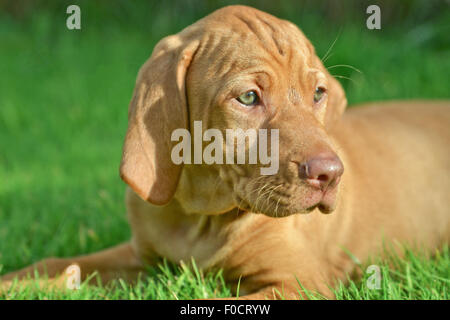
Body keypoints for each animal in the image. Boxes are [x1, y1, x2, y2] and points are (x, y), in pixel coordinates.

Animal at [2, 5, 450, 300]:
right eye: (249, 97)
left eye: (318, 94)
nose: (330, 174)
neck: (199, 218)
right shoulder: (143, 257)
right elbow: (58, 264)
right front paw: (17, 283)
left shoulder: (298, 282)